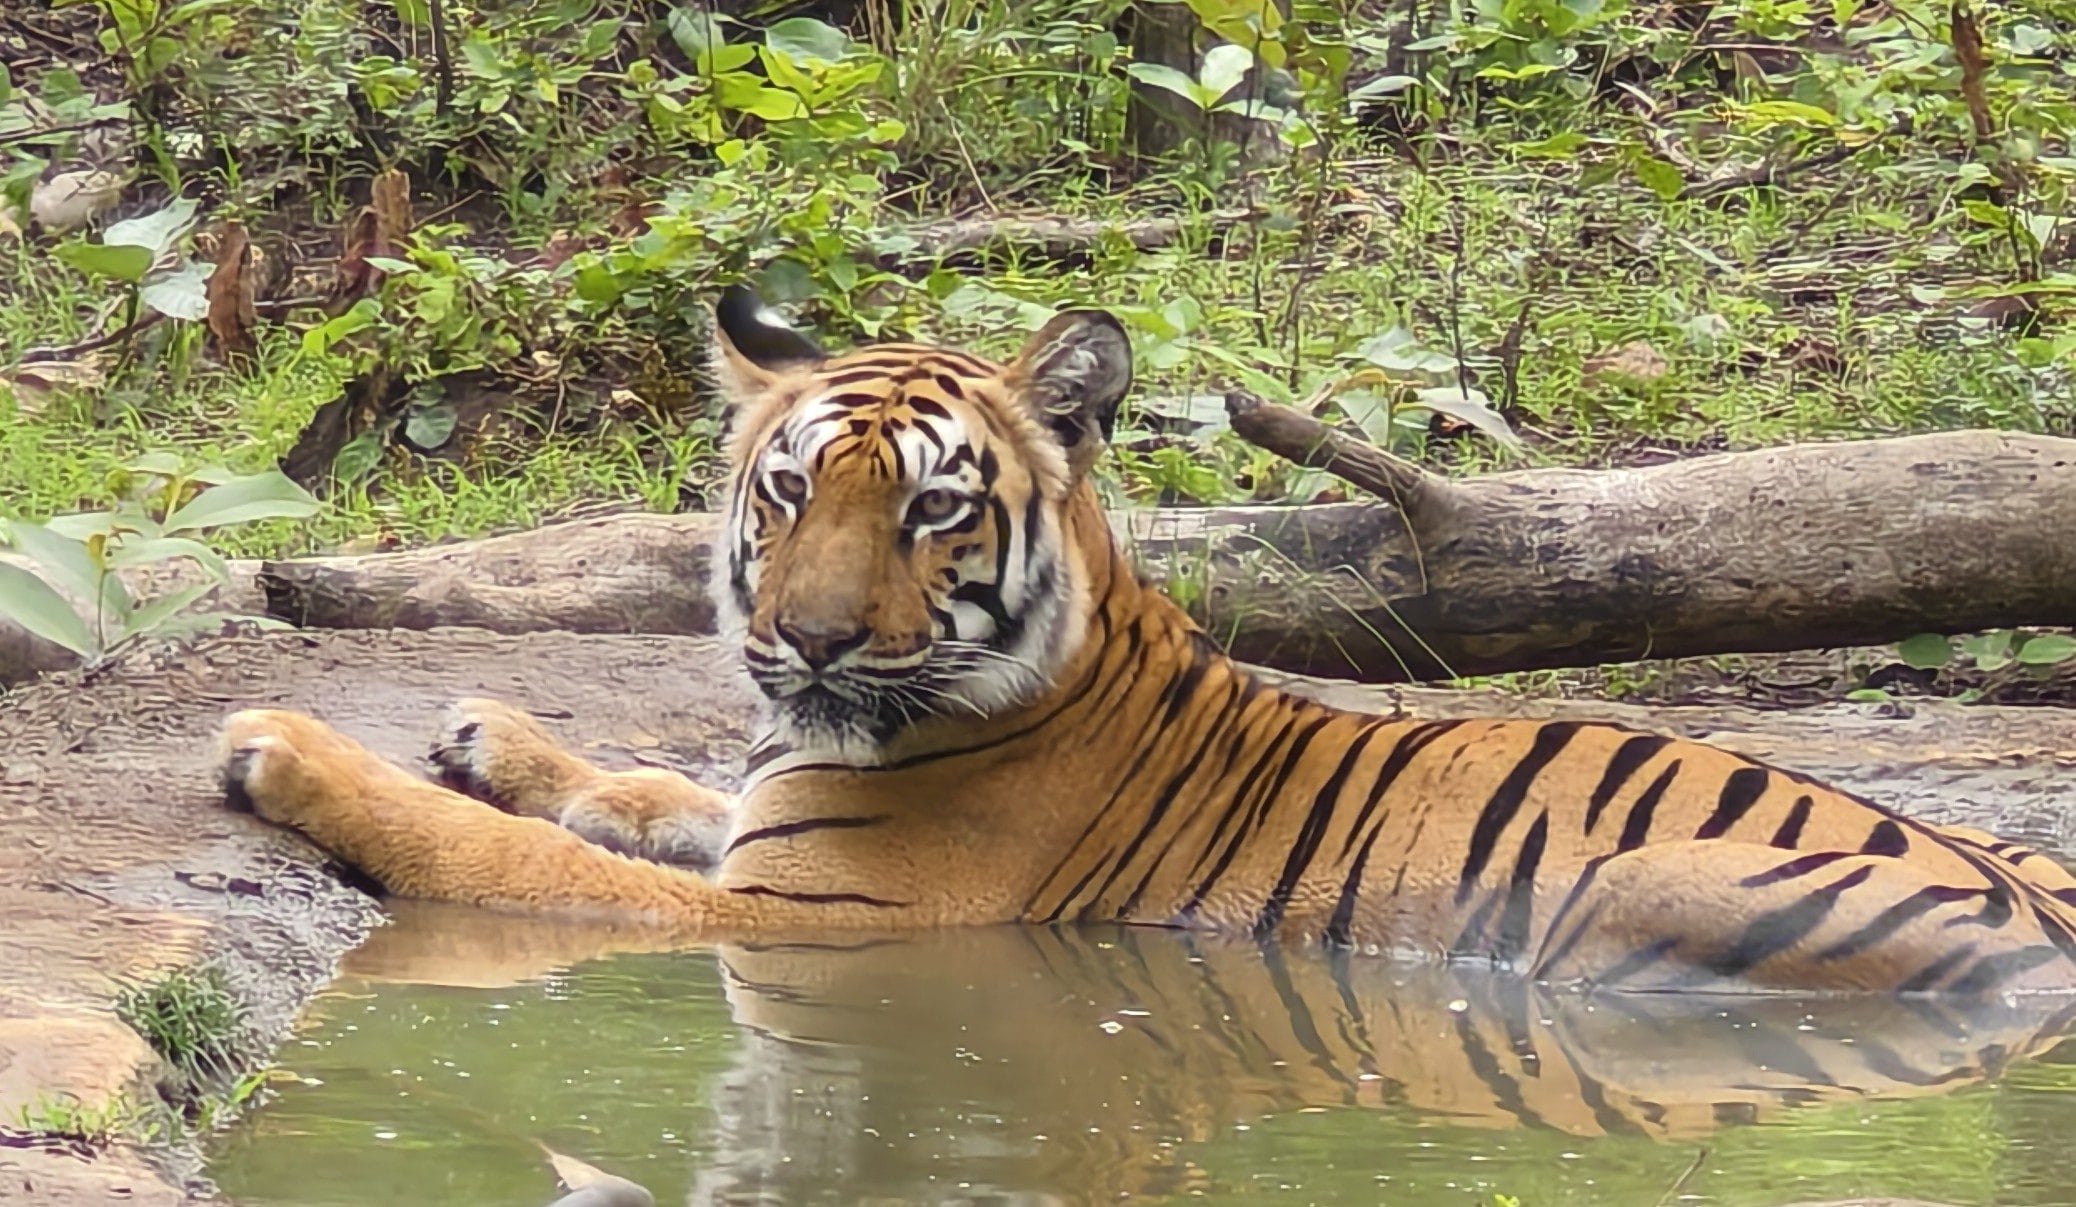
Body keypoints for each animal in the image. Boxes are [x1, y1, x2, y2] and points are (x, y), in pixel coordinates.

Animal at [217, 285, 2076, 996]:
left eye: (934, 510)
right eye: (790, 487)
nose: (808, 642)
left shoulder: (810, 916)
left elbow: (517, 859)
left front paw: (292, 749)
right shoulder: (767, 819)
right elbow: (658, 781)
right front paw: (494, 731)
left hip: (1629, 895)